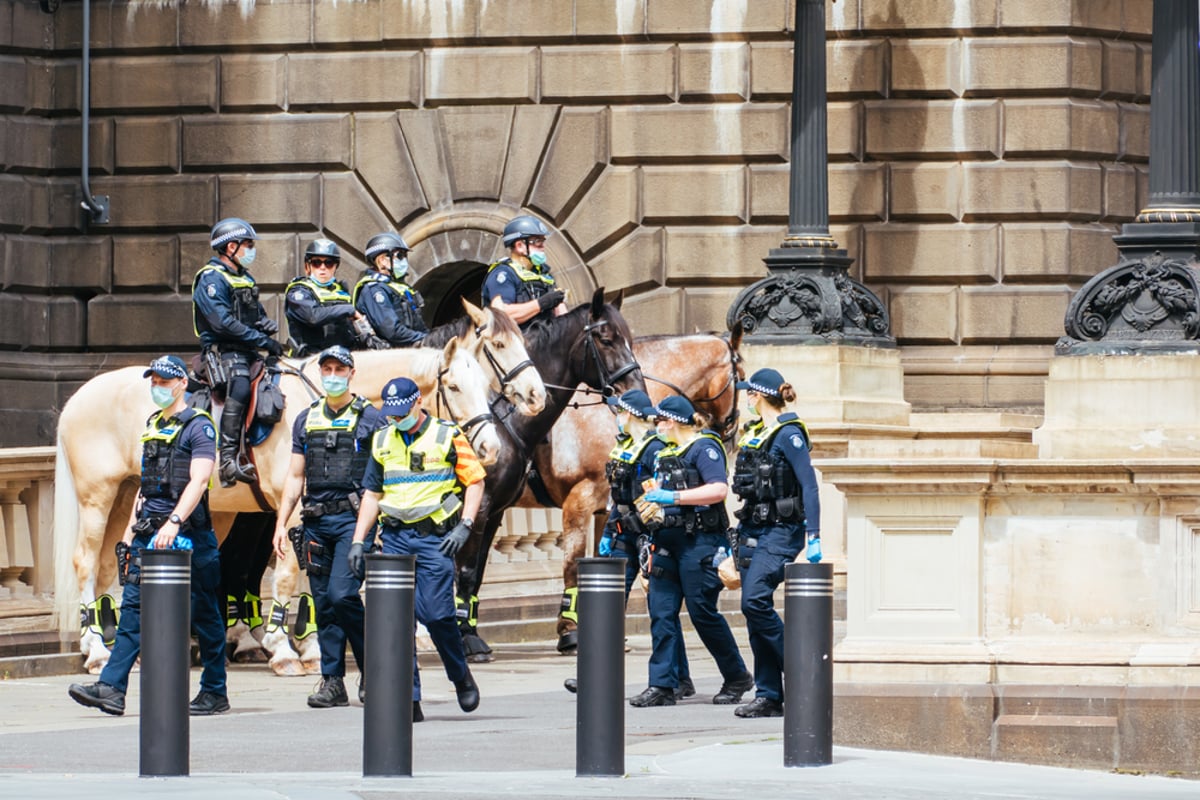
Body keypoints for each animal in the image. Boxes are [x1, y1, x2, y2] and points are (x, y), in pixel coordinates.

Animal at [54, 299, 542, 676]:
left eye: (482, 383)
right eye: (455, 385)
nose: (489, 447)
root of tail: (77, 396)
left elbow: (315, 567)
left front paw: (309, 643)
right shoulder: (288, 499)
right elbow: (290, 570)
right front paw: (282, 646)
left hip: (131, 496)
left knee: (107, 566)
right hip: (98, 496)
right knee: (85, 562)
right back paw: (98, 650)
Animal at [453, 287, 648, 657]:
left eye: (630, 340)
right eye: (605, 339)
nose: (637, 394)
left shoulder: (498, 509)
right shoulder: (573, 501)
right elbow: (469, 569)